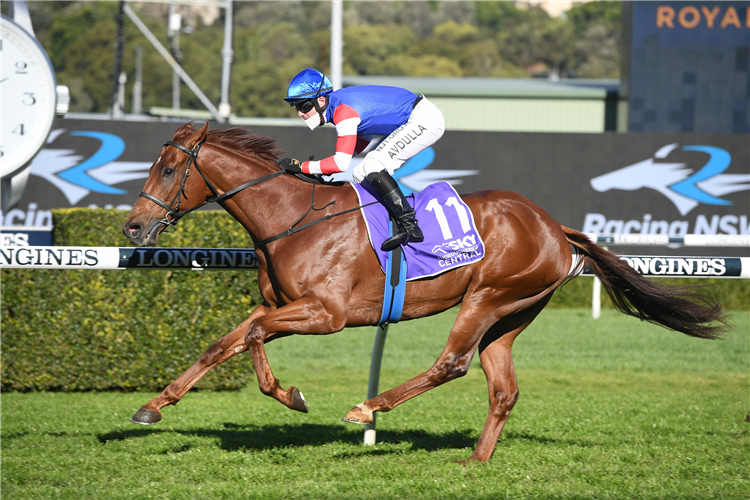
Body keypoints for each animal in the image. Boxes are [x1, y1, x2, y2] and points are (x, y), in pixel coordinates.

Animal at [122, 122, 728, 464]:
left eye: (169, 169)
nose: (132, 228)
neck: (293, 218)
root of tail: (556, 228)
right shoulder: (279, 306)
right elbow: (225, 342)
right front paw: (153, 406)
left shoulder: (326, 314)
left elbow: (251, 340)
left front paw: (290, 394)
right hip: (511, 315)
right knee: (502, 388)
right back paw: (475, 461)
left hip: (488, 296)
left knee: (452, 363)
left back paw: (369, 407)